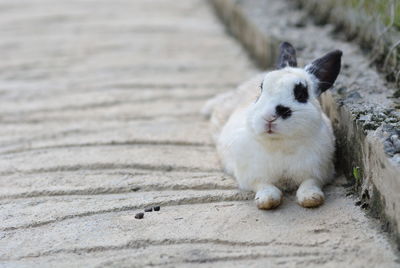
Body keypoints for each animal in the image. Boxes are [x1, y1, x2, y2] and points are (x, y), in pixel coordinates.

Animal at [202, 42, 342, 209]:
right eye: (261, 88)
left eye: (301, 94)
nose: (269, 117)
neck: (280, 143)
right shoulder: (252, 176)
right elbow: (264, 186)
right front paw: (266, 200)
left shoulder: (319, 172)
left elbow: (310, 183)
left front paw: (311, 198)